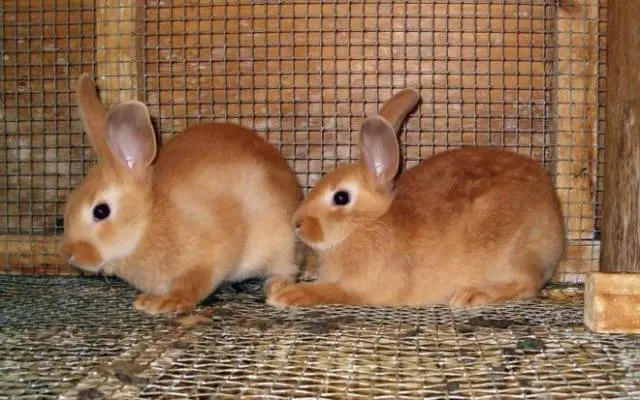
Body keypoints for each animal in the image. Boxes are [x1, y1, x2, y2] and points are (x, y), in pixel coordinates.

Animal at [58, 73, 304, 314]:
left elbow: (194, 284)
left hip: (281, 243)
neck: (149, 221)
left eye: (100, 211)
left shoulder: (208, 257)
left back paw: (277, 288)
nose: (70, 255)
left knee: (285, 269)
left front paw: (166, 302)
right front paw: (147, 300)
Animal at [264, 88, 564, 310]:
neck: (367, 225)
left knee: (528, 283)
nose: (297, 223)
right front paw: (280, 285)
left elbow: (329, 291)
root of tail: (554, 213)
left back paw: (471, 295)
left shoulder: (361, 287)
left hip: (513, 253)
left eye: (340, 197)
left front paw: (288, 294)